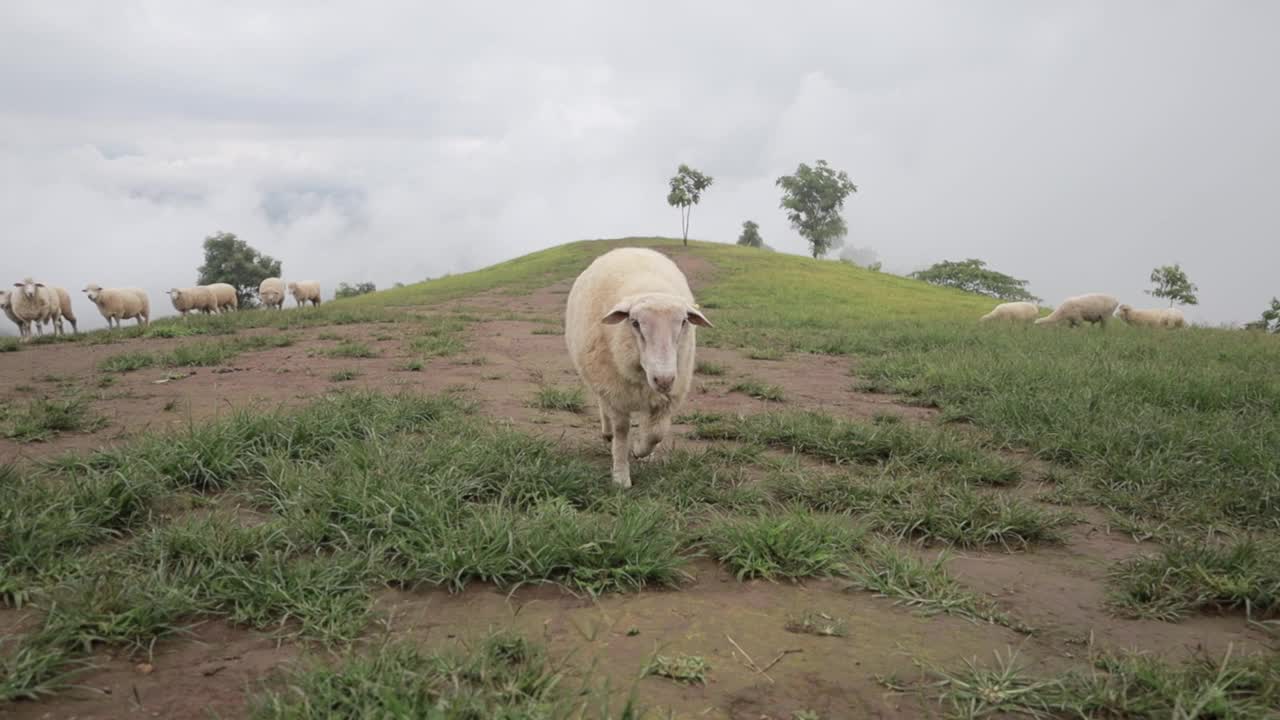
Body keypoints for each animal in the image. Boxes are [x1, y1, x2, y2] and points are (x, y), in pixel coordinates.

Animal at [568, 245, 716, 486]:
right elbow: (621, 432)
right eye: (635, 323)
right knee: (603, 405)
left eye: (684, 322)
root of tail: (629, 248)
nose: (664, 379)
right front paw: (621, 476)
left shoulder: (665, 397)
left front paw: (640, 451)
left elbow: (656, 433)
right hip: (600, 378)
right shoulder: (615, 391)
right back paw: (607, 432)